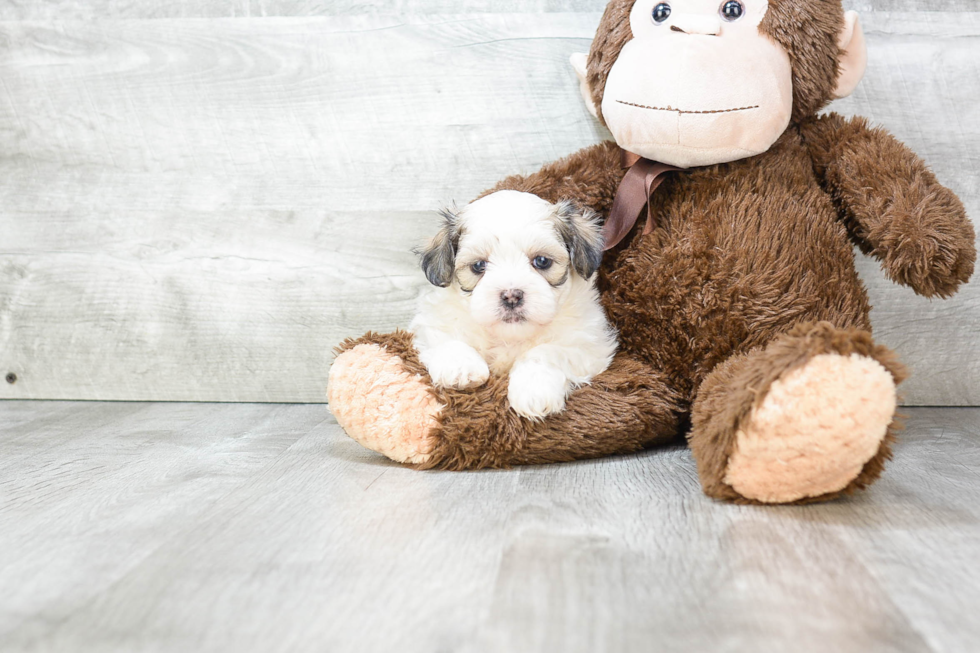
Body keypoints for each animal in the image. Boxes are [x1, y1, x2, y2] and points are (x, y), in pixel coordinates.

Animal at [410, 191, 616, 420]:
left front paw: (534, 389)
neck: (510, 336)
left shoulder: (589, 344)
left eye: (542, 261)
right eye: (478, 265)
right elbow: (447, 338)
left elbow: (546, 352)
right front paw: (461, 367)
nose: (511, 296)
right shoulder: (433, 320)